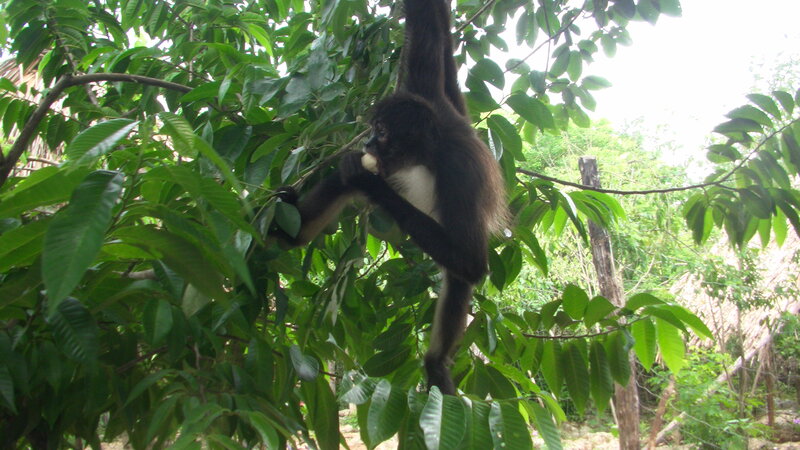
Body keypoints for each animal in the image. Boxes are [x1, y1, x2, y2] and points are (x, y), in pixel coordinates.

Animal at [273, 0, 508, 395]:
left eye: (381, 131)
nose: (368, 142)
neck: (428, 153)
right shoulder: (424, 92)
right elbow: (425, 31)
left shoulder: (459, 173)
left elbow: (472, 261)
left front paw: (370, 185)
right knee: (339, 182)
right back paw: (291, 233)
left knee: (461, 271)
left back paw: (436, 364)